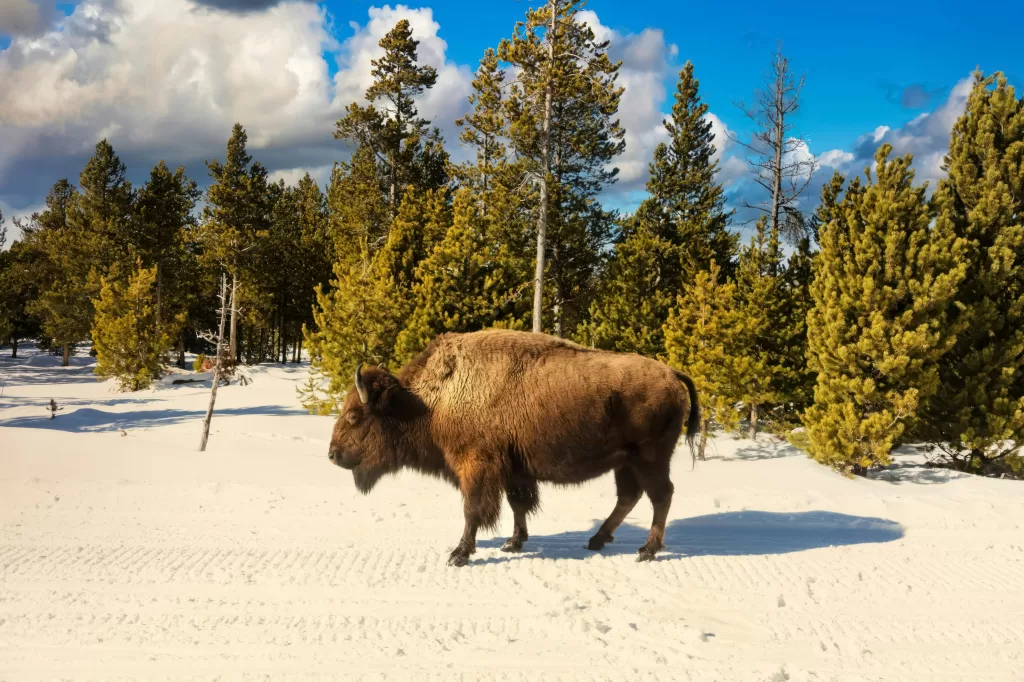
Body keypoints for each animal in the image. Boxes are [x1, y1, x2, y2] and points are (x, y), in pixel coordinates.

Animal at [323, 327, 700, 561]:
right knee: (629, 496)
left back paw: (646, 550)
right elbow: (518, 505)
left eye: (355, 415)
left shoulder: (477, 466)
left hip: (649, 458)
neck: (428, 401)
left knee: (660, 495)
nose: (332, 454)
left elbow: (473, 510)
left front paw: (459, 554)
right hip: (626, 462)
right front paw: (513, 543)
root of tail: (672, 374)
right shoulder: (514, 471)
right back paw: (596, 540)